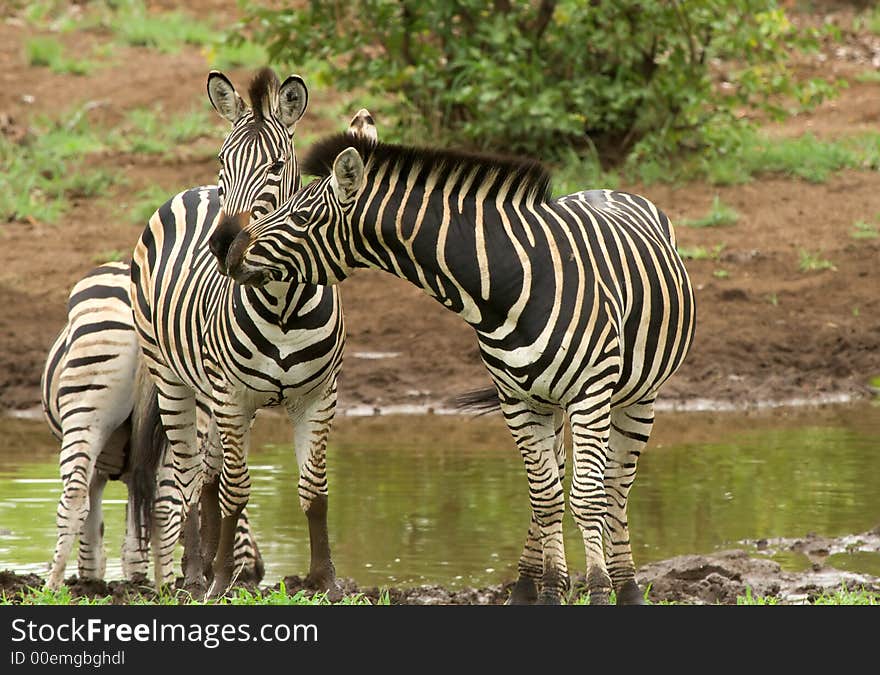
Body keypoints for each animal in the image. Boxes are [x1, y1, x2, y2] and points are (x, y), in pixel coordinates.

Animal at [40, 68, 312, 596]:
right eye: (223, 160)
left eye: (274, 166)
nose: (259, 572)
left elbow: (107, 519)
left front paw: (105, 579)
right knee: (171, 490)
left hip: (103, 407)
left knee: (90, 494)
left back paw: (74, 583)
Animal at [130, 92, 374, 596]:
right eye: (224, 159)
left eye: (277, 166)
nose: (225, 244)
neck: (282, 305)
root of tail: (197, 192)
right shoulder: (234, 396)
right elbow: (237, 491)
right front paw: (223, 582)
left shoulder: (318, 397)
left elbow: (315, 491)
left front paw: (325, 581)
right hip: (174, 380)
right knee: (189, 476)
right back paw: (196, 572)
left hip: (218, 397)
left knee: (208, 474)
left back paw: (206, 562)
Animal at [218, 133, 696, 608]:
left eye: (300, 216)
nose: (230, 251)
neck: (507, 285)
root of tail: (608, 189)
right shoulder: (516, 400)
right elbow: (545, 498)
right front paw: (548, 593)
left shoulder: (590, 395)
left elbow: (588, 498)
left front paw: (597, 591)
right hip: (549, 404)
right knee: (556, 484)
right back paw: (531, 585)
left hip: (636, 398)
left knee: (616, 488)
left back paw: (627, 587)